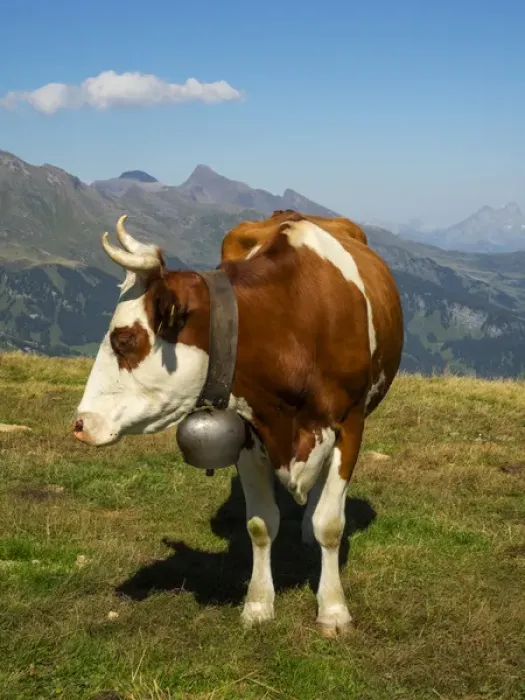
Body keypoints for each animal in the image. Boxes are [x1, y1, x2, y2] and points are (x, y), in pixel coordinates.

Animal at [73, 212, 403, 637]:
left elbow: (330, 524)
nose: (81, 423)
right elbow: (260, 525)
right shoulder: (249, 432)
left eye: (124, 340)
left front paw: (333, 610)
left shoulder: (350, 425)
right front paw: (258, 605)